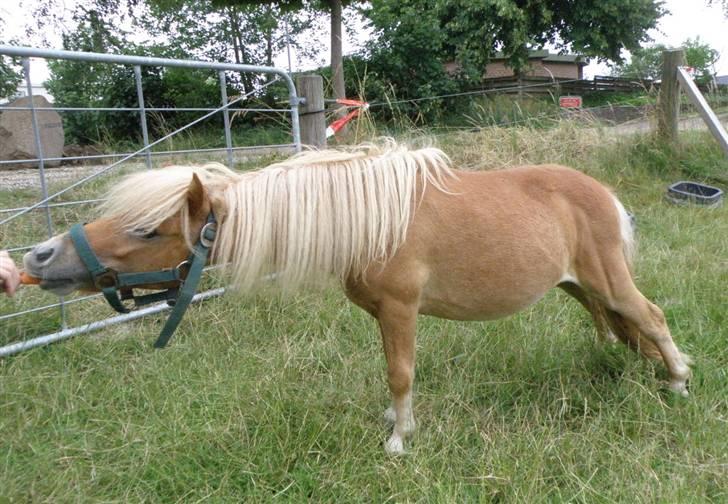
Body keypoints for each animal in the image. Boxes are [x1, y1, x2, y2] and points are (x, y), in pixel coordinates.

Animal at [25, 140, 692, 454]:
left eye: (147, 231)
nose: (40, 258)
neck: (368, 221)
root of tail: (603, 193)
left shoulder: (401, 309)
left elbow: (401, 373)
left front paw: (400, 440)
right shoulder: (380, 314)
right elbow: (389, 372)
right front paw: (395, 423)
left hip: (608, 281)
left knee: (653, 316)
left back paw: (679, 381)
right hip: (579, 288)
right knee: (624, 324)